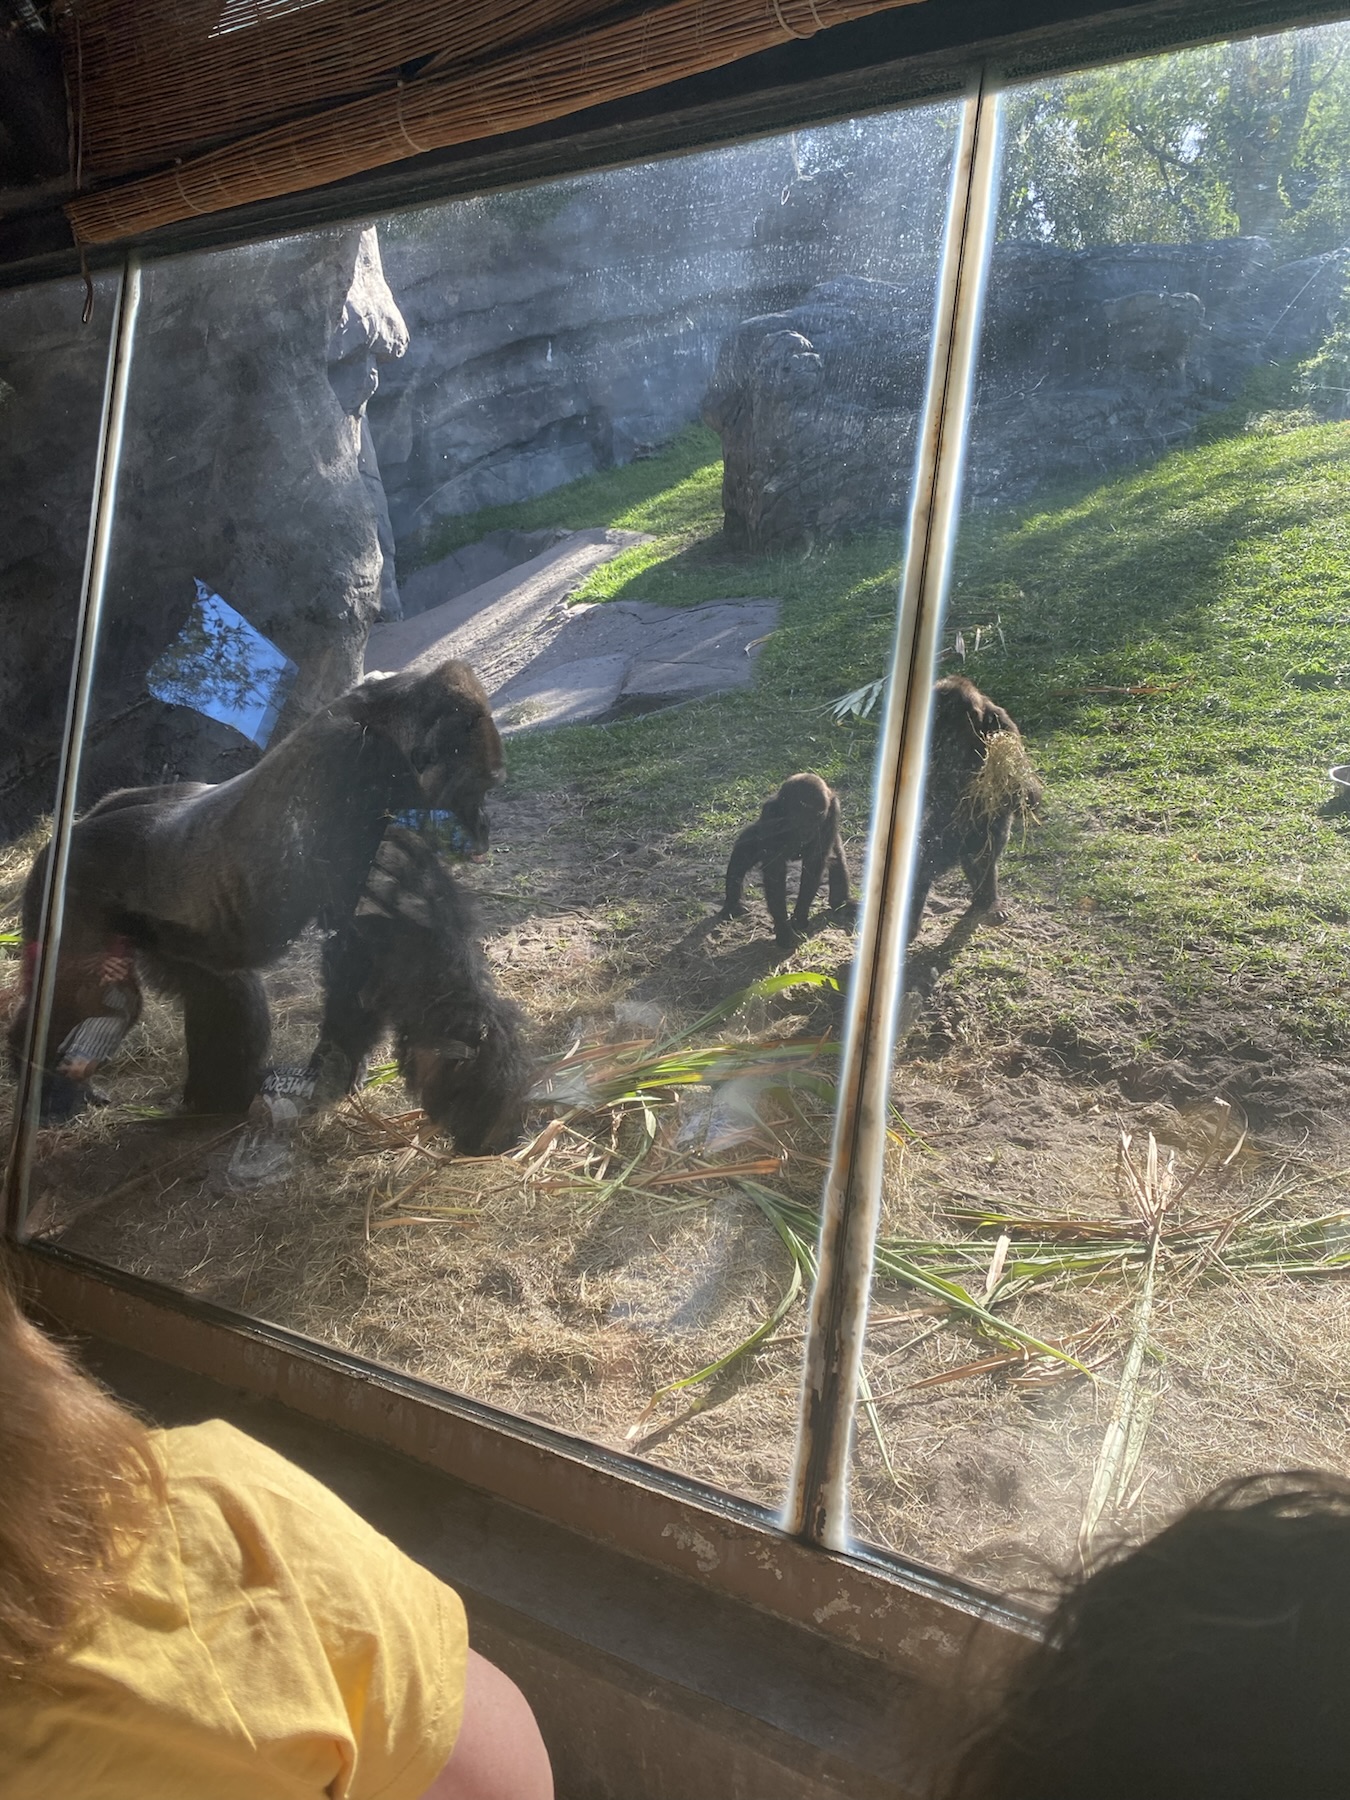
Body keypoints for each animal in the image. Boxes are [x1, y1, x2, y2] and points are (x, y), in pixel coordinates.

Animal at [8, 659, 504, 1121]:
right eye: (480, 785)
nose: (484, 825)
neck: (382, 718)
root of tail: (50, 849)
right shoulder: (350, 772)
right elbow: (358, 942)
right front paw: (337, 1062)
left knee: (219, 986)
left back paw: (215, 1101)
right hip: (68, 898)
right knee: (80, 992)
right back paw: (42, 1080)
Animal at [721, 772, 852, 949]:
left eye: (816, 819)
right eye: (800, 821)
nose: (807, 834)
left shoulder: (832, 813)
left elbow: (814, 864)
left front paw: (799, 917)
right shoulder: (771, 813)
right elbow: (774, 870)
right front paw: (783, 927)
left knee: (836, 857)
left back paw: (841, 902)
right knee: (742, 854)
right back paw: (732, 903)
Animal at [907, 673, 1042, 940]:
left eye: (947, 724)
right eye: (936, 723)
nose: (940, 735)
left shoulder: (1003, 724)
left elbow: (1021, 790)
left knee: (986, 850)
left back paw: (986, 898)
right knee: (932, 857)